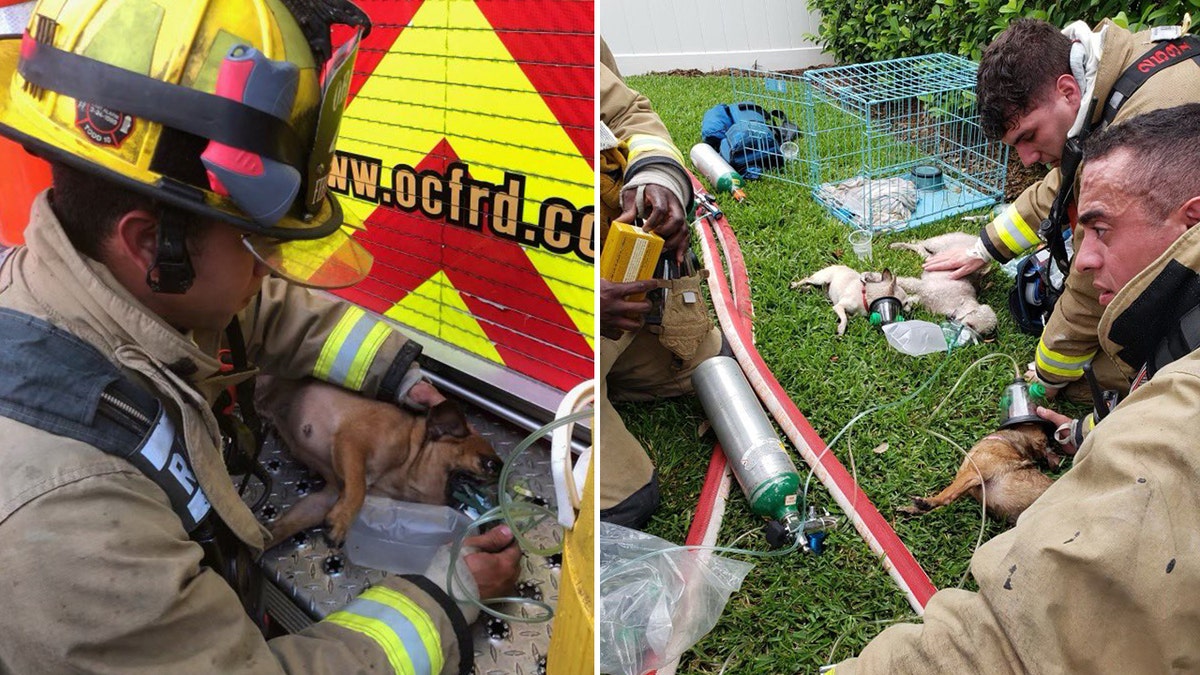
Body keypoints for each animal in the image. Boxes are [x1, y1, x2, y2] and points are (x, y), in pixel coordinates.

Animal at [253, 374, 501, 542]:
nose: (501, 490)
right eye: (491, 464)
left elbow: (282, 528)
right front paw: (343, 521)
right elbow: (358, 490)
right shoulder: (353, 443)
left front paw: (261, 541)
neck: (409, 460)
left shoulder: (325, 499)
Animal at [902, 422, 1060, 523]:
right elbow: (945, 504)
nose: (1052, 457)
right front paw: (915, 510)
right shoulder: (967, 490)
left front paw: (928, 502)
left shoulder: (973, 475)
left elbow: (946, 494)